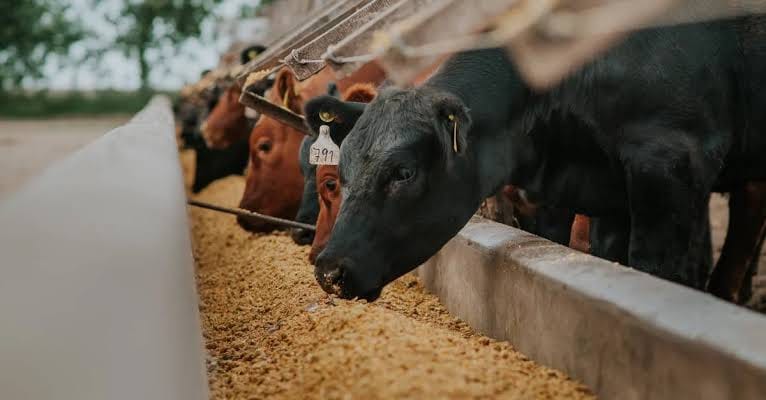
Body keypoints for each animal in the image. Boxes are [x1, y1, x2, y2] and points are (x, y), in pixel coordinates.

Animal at [313, 18, 766, 301]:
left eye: (403, 172)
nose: (328, 271)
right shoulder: (590, 195)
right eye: (343, 172)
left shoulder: (669, 161)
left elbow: (653, 268)